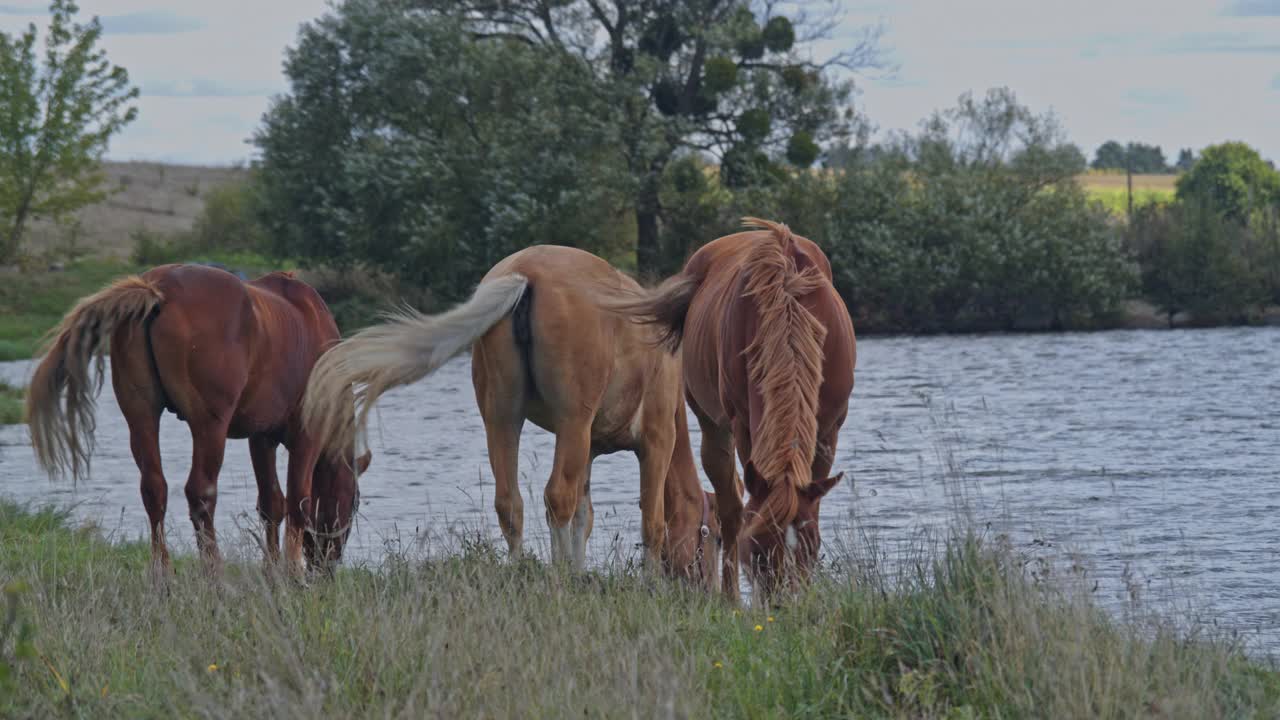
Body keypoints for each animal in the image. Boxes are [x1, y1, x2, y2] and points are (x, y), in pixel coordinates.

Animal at [26, 265, 371, 576]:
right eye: (353, 502)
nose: (327, 566)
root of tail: (158, 291)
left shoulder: (261, 437)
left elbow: (272, 502)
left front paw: (272, 570)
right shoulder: (306, 433)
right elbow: (298, 500)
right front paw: (290, 573)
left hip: (140, 414)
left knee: (154, 489)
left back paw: (162, 575)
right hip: (209, 425)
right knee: (201, 494)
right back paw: (213, 573)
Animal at [300, 244, 721, 584]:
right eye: (713, 535)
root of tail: (525, 274)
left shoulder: (588, 449)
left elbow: (584, 516)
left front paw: (580, 569)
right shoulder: (656, 440)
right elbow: (651, 520)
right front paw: (649, 584)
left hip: (502, 418)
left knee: (510, 502)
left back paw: (523, 569)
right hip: (571, 422)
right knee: (557, 496)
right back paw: (557, 576)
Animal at [604, 215, 855, 597]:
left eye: (810, 549)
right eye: (759, 547)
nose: (781, 603)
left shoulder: (829, 428)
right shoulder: (746, 427)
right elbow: (740, 509)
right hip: (713, 425)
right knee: (730, 505)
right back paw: (730, 596)